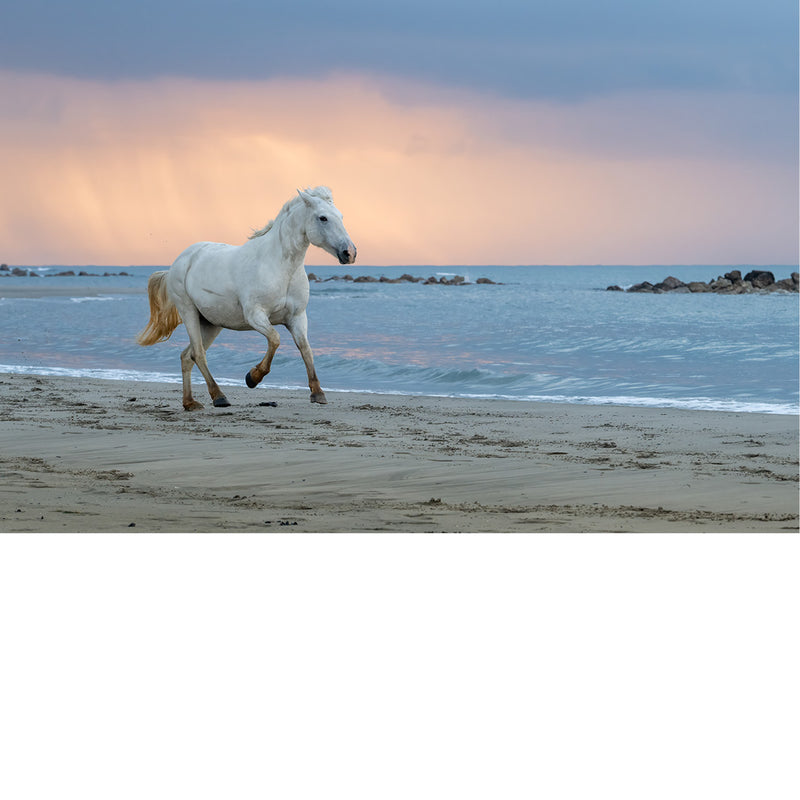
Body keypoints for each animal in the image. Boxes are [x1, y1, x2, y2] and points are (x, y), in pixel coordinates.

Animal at [137, 186, 356, 410]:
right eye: (323, 218)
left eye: (341, 216)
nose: (349, 252)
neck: (280, 266)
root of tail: (179, 261)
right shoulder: (255, 315)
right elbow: (275, 340)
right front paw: (253, 377)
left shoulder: (298, 317)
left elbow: (306, 350)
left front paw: (318, 393)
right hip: (188, 312)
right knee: (198, 354)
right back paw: (219, 396)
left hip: (210, 323)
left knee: (187, 356)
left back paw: (190, 402)